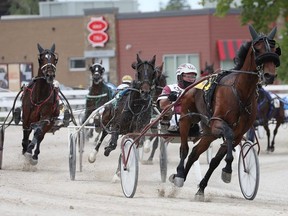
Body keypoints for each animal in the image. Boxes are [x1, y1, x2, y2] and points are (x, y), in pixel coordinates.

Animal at [169, 24, 282, 198]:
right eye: (257, 49)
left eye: (275, 49)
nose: (269, 75)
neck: (240, 92)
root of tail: (190, 87)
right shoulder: (219, 122)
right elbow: (227, 136)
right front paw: (228, 169)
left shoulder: (238, 133)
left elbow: (216, 160)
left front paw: (202, 187)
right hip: (186, 119)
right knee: (184, 148)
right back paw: (180, 174)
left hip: (209, 131)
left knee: (195, 152)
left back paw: (181, 177)